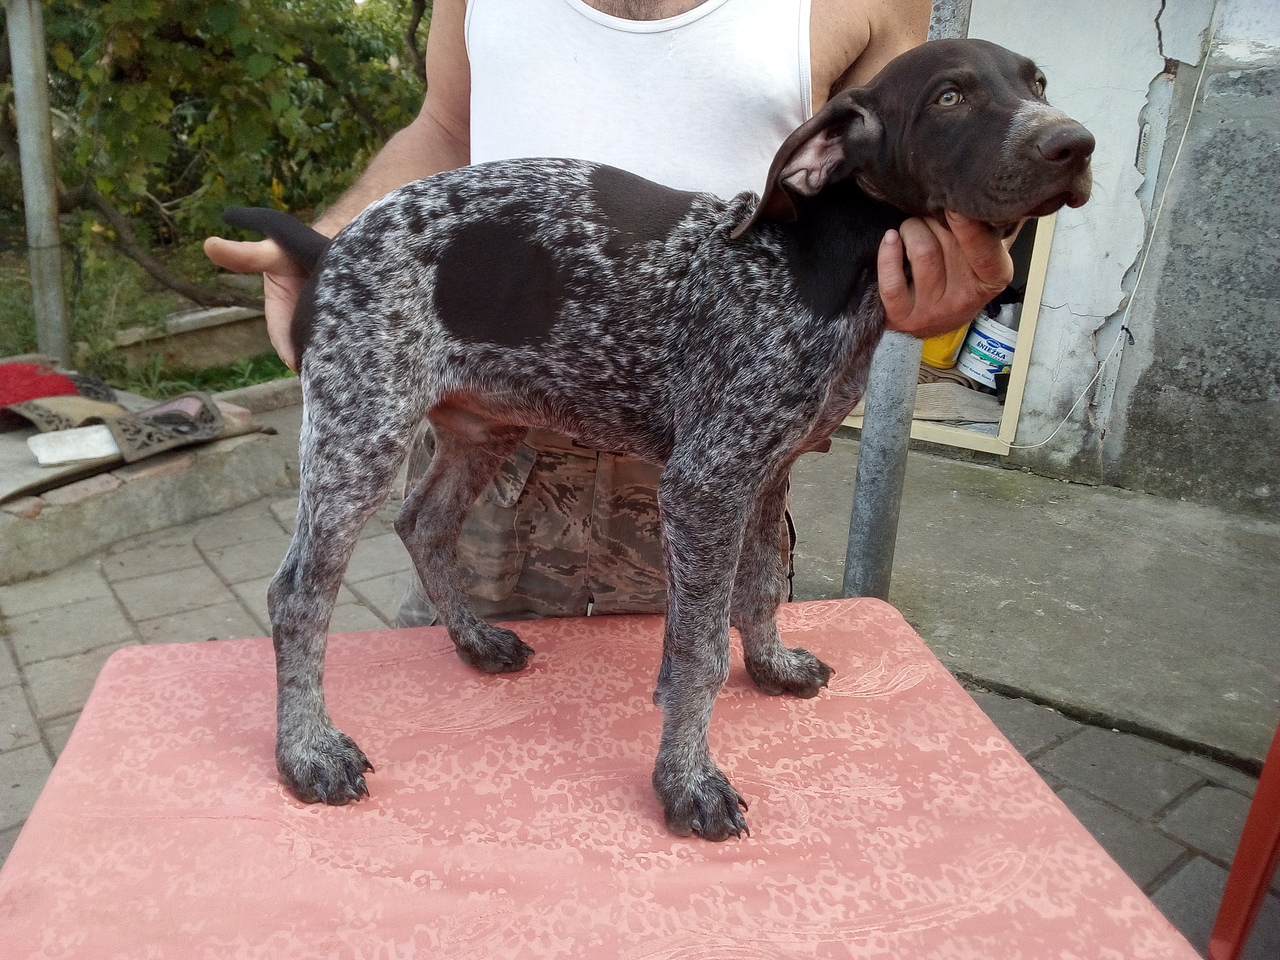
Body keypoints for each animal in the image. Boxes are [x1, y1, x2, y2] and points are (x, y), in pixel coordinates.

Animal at [225, 38, 1093, 841]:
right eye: (950, 96)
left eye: (1039, 82)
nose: (1075, 144)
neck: (813, 266)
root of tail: (330, 247)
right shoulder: (706, 483)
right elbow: (696, 653)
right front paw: (687, 781)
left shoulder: (765, 472)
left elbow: (759, 586)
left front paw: (771, 665)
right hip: (360, 432)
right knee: (297, 595)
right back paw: (307, 751)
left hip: (483, 427)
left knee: (424, 523)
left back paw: (472, 641)